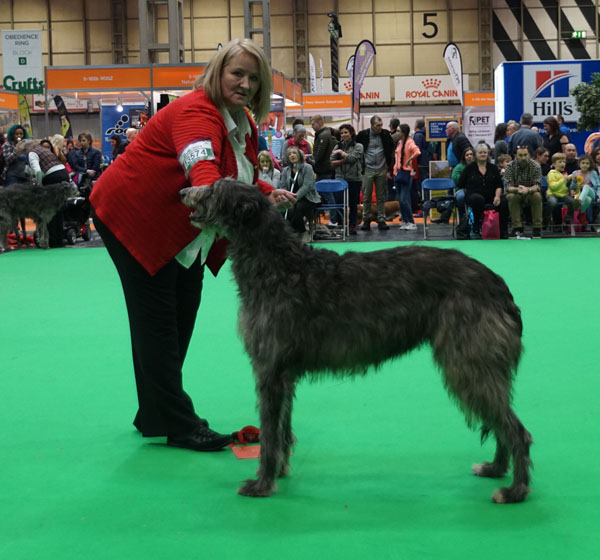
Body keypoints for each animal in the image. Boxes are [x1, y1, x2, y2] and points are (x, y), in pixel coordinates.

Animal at [180, 178, 532, 504]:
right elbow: (281, 427)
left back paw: (515, 489)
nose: (183, 192)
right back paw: (496, 468)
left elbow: (268, 432)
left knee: (516, 429)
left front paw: (262, 483)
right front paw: (279, 470)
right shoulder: (284, 373)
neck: (279, 266)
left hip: (468, 361)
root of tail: (499, 286)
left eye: (213, 189)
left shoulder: (269, 369)